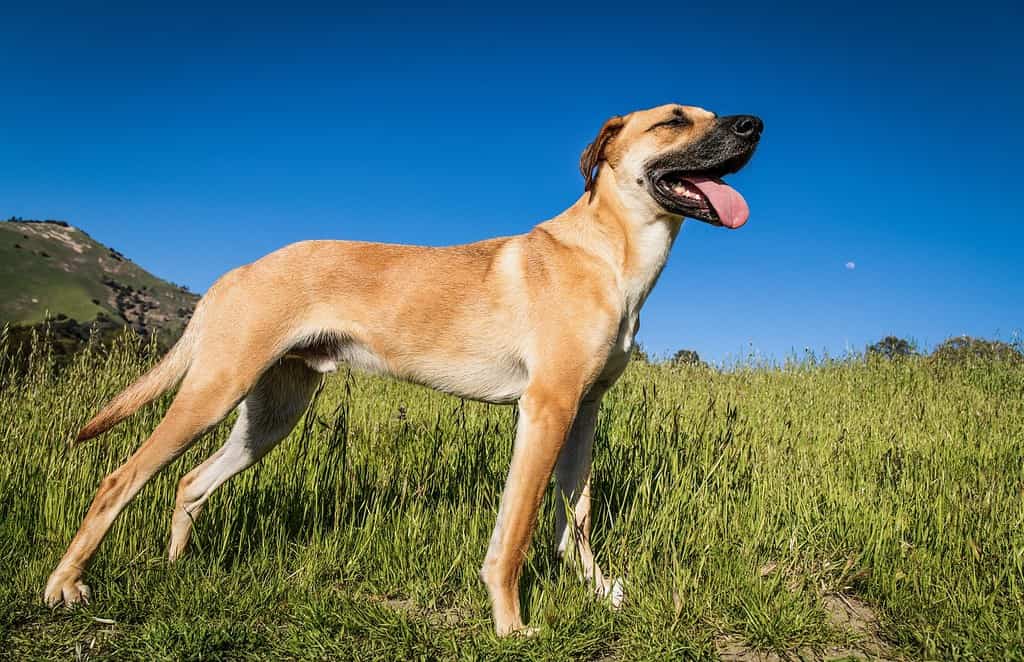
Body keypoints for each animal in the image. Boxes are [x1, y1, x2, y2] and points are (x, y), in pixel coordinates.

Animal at [44, 105, 761, 639]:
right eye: (673, 120)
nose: (754, 125)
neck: (613, 250)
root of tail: (236, 271)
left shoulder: (583, 412)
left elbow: (576, 516)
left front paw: (598, 589)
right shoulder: (546, 408)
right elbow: (516, 532)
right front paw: (510, 624)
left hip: (272, 413)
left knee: (190, 482)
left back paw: (177, 569)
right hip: (214, 393)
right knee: (120, 478)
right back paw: (65, 584)